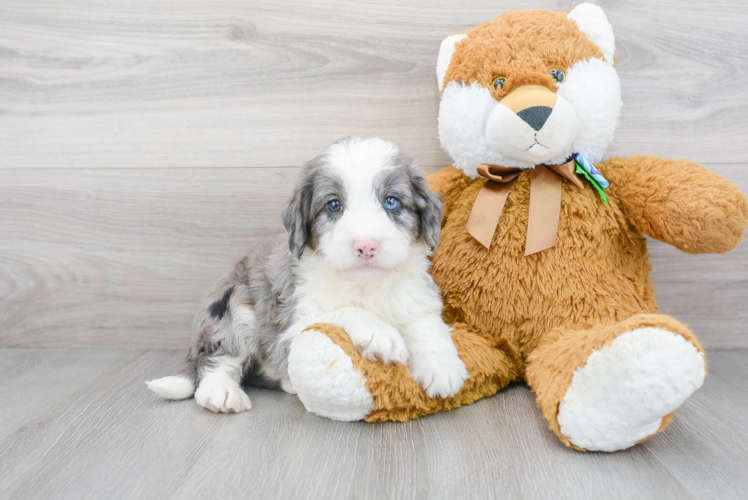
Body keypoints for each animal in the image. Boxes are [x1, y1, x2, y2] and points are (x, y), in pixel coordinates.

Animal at [146, 138, 468, 414]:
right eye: (334, 205)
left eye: (391, 202)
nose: (366, 245)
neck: (365, 284)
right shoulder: (293, 320)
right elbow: (342, 311)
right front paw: (380, 333)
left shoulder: (414, 294)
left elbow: (425, 320)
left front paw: (442, 366)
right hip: (235, 305)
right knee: (217, 359)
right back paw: (221, 392)